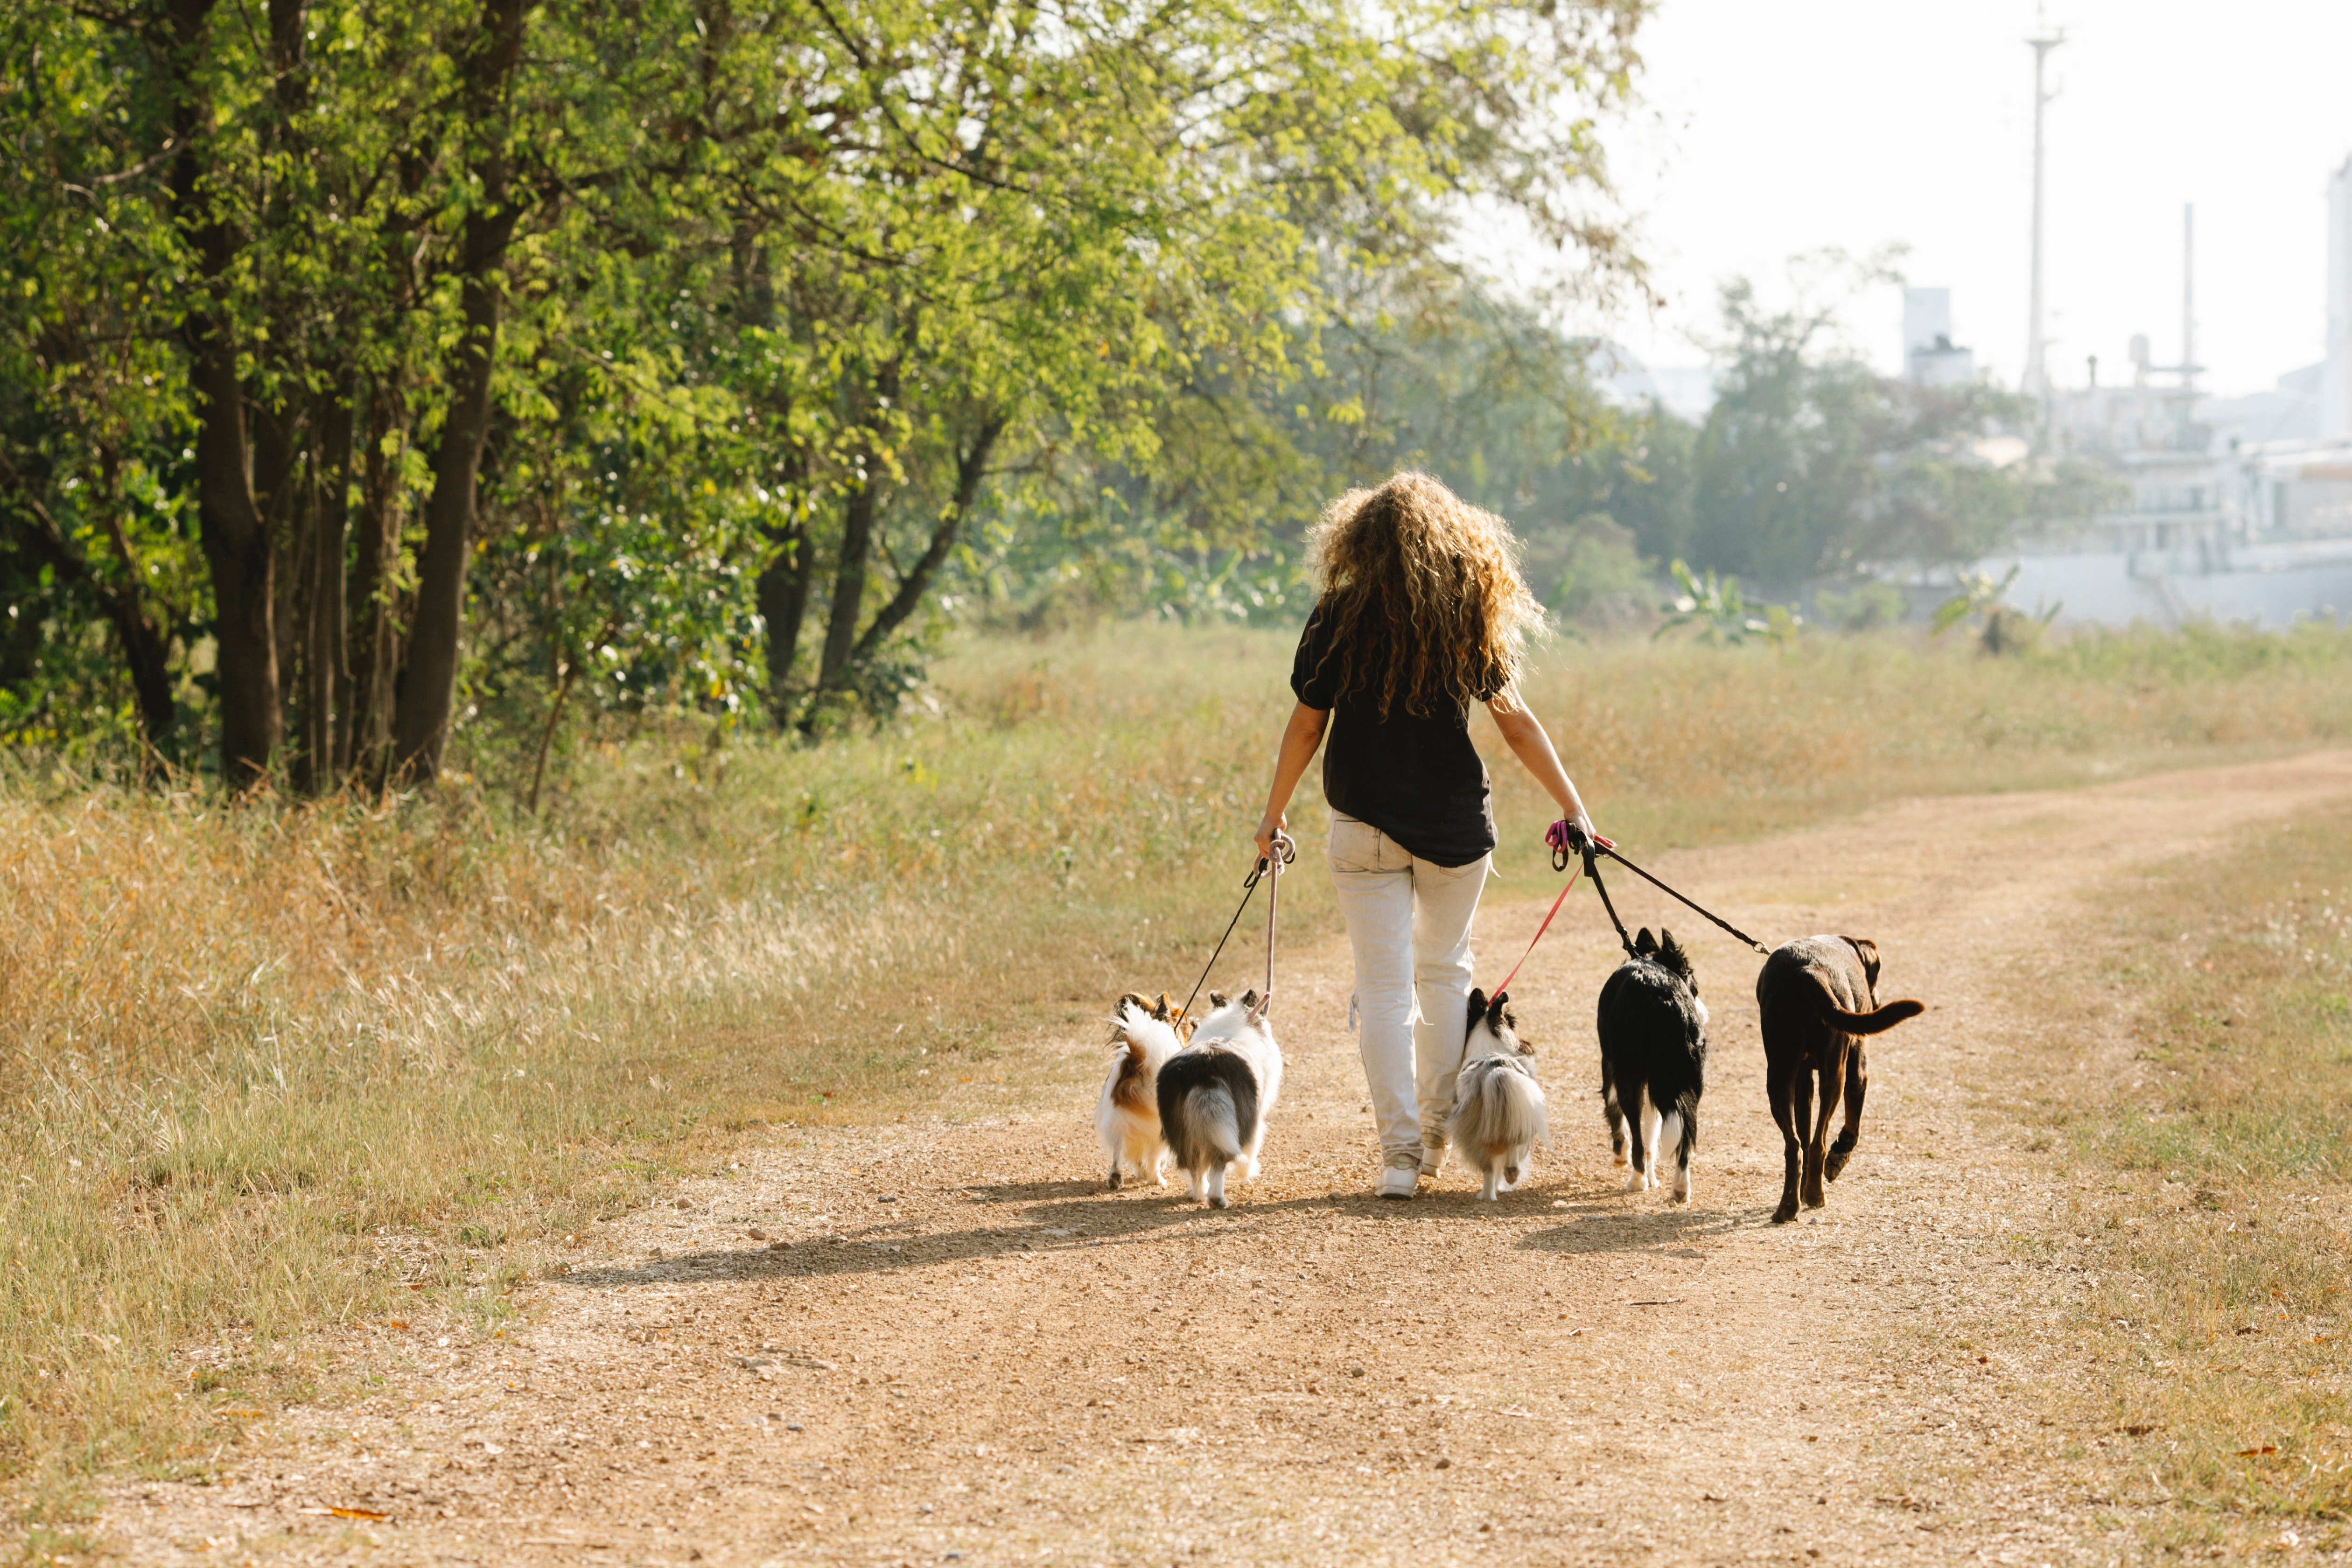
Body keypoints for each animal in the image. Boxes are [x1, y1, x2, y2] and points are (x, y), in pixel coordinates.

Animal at [1091, 992, 1185, 1189]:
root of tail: (1138, 1065)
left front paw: (1140, 1172)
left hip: (1120, 1120)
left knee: (1119, 1150)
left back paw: (1116, 1178)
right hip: (1159, 1127)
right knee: (1154, 1157)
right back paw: (1157, 1180)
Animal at [1148, 992, 1279, 1213]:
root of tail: (1204, 1070)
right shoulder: (1255, 1118)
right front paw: (1246, 1173)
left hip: (1182, 1131)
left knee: (1194, 1166)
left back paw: (1199, 1194)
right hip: (1233, 1123)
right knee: (1219, 1161)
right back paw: (1218, 1199)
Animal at [1599, 926, 1712, 1213]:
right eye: (1695, 986)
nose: (1706, 1014)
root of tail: (1664, 996)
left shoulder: (1610, 1065)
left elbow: (1618, 1116)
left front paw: (1621, 1158)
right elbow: (1654, 1131)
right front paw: (1653, 1178)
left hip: (1629, 1073)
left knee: (1636, 1132)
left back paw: (1636, 1180)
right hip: (1691, 1079)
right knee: (1686, 1130)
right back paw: (1680, 1188)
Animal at [1759, 931, 1919, 1222]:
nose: (1878, 1000)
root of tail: (1808, 971)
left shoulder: (1803, 1079)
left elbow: (1805, 1133)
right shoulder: (1858, 1068)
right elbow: (1853, 1126)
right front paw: (1839, 1155)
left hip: (1779, 1073)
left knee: (1796, 1145)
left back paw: (1789, 1206)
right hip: (1836, 1070)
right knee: (1819, 1144)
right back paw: (1815, 1195)